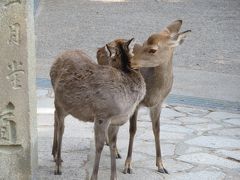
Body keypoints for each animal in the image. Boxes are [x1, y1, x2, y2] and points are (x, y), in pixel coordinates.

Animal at [49, 37, 163, 179]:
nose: (99, 50)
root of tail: (55, 61)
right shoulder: (102, 116)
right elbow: (99, 146)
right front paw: (94, 176)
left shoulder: (116, 121)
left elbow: (113, 145)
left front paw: (114, 176)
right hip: (60, 103)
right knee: (61, 128)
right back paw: (58, 166)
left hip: (66, 106)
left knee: (55, 118)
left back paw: (54, 155)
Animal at [96, 19, 190, 173]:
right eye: (145, 42)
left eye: (153, 49)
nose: (131, 62)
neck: (155, 92)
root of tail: (99, 49)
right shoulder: (136, 104)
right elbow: (133, 130)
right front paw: (128, 165)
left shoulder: (158, 104)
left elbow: (157, 129)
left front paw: (161, 165)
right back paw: (114, 149)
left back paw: (110, 146)